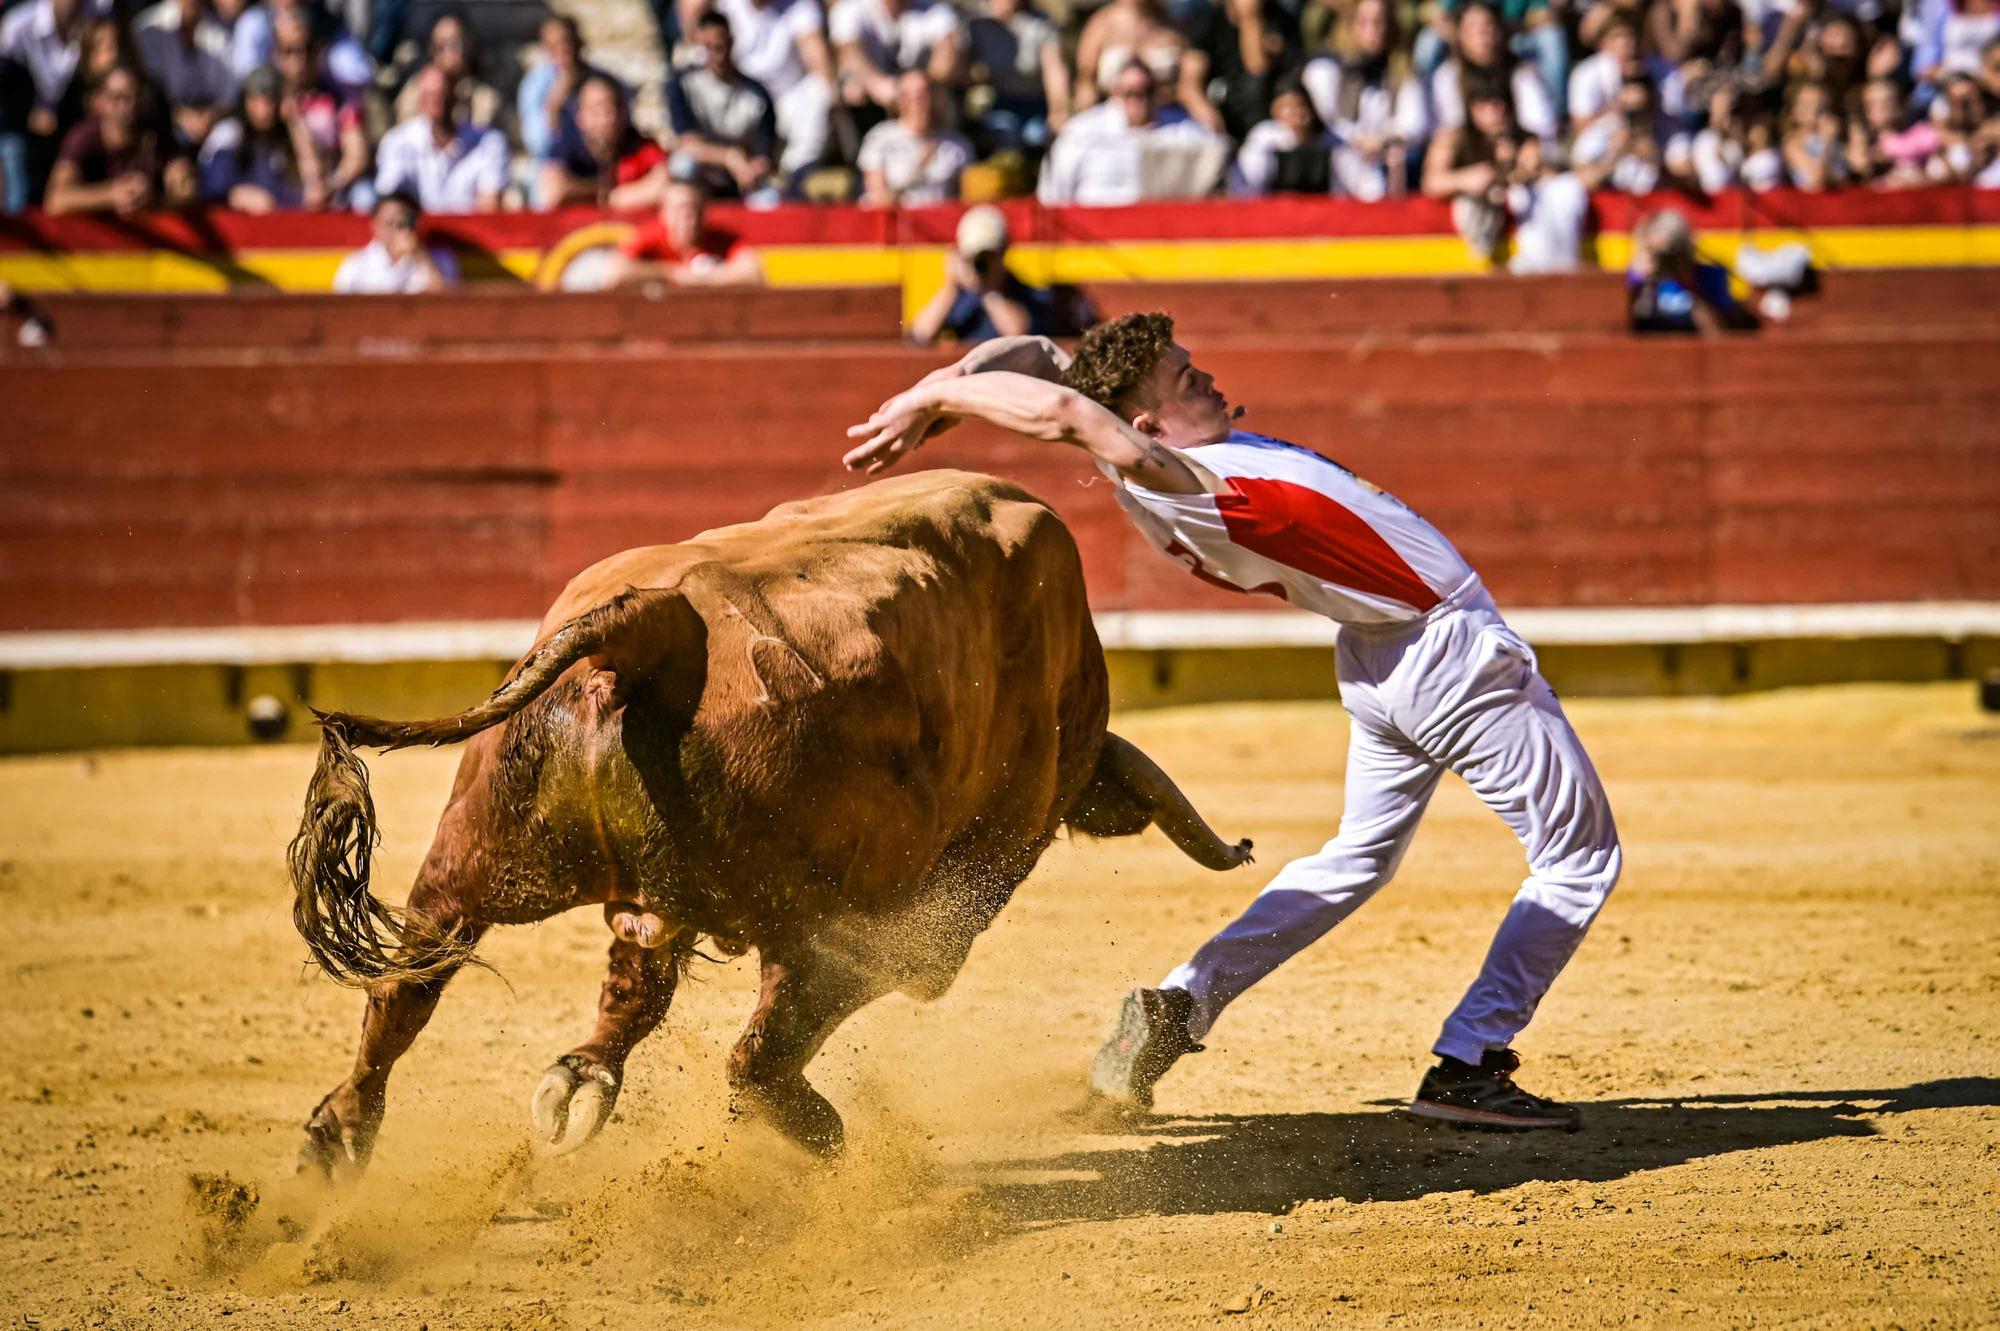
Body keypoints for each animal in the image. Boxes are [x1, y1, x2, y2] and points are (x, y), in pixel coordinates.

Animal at [292, 469, 1248, 1175]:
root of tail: (655, 626)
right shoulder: (931, 921)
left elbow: (633, 982)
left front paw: (581, 1074)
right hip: (832, 921)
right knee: (758, 1054)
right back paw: (824, 1140)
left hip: (481, 850)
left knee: (413, 980)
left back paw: (352, 1134)